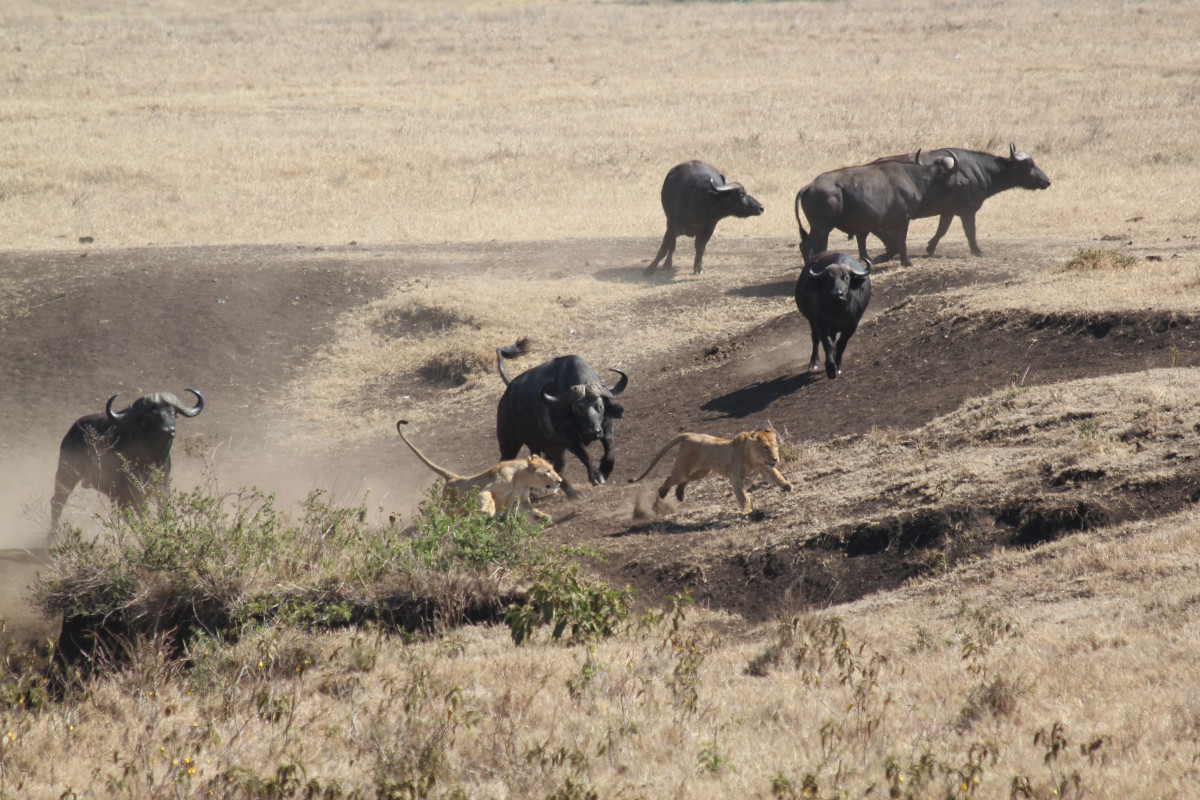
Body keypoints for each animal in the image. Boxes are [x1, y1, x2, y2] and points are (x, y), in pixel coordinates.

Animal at [48, 388, 204, 527]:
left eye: (172, 413)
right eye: (150, 416)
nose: (169, 430)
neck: (153, 457)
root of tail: (72, 431)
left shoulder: (162, 486)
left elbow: (163, 510)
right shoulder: (134, 491)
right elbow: (144, 515)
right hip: (66, 473)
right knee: (57, 501)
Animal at [496, 340, 628, 501]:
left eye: (600, 406)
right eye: (578, 409)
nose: (594, 432)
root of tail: (507, 394)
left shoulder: (606, 424)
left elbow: (609, 447)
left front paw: (605, 470)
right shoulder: (568, 437)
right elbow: (585, 454)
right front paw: (596, 477)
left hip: (549, 447)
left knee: (554, 467)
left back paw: (570, 493)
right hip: (509, 443)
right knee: (505, 461)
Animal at [796, 251, 873, 381]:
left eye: (847, 277)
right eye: (828, 278)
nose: (838, 294)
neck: (838, 310)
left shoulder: (852, 325)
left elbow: (841, 344)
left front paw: (838, 366)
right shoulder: (820, 322)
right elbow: (828, 344)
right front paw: (831, 369)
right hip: (812, 320)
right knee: (815, 338)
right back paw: (814, 363)